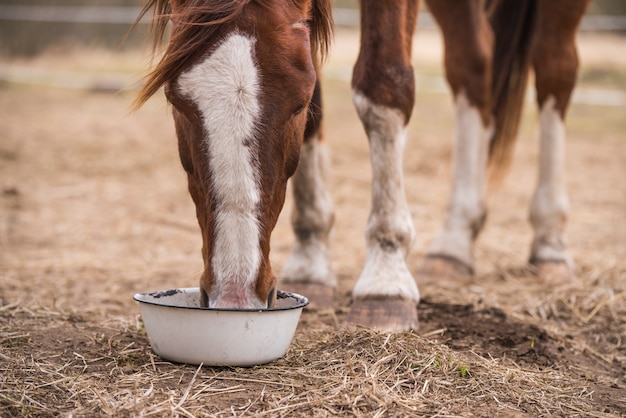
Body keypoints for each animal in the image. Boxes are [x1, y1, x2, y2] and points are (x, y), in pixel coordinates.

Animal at [134, 0, 588, 334]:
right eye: (176, 101)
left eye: (296, 103)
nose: (234, 297)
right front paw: (312, 258)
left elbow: (383, 84)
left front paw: (386, 280)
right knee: (472, 63)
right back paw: (454, 241)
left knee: (556, 67)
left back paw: (550, 241)